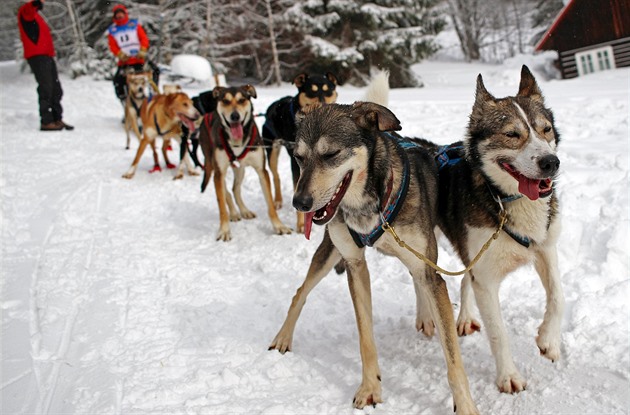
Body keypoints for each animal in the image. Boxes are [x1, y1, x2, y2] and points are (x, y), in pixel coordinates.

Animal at [200, 86, 294, 242]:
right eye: (225, 101)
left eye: (242, 100)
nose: (235, 116)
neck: (238, 142)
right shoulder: (219, 172)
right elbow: (221, 206)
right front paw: (224, 230)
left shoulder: (261, 171)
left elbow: (270, 204)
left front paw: (279, 226)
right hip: (216, 170)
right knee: (226, 192)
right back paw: (234, 213)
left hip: (240, 169)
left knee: (235, 189)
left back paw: (244, 211)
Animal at [266, 100, 478, 412]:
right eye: (299, 157)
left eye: (330, 154)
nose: (299, 203)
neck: (371, 205)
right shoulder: (355, 265)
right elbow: (365, 336)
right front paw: (369, 388)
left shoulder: (428, 270)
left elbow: (453, 358)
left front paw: (465, 406)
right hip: (329, 252)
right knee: (300, 292)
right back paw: (282, 337)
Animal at [424, 66, 564, 396]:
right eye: (512, 134)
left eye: (545, 129)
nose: (551, 162)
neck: (505, 198)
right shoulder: (486, 279)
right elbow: (499, 332)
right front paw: (508, 376)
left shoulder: (545, 248)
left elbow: (558, 296)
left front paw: (549, 340)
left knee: (464, 278)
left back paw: (464, 317)